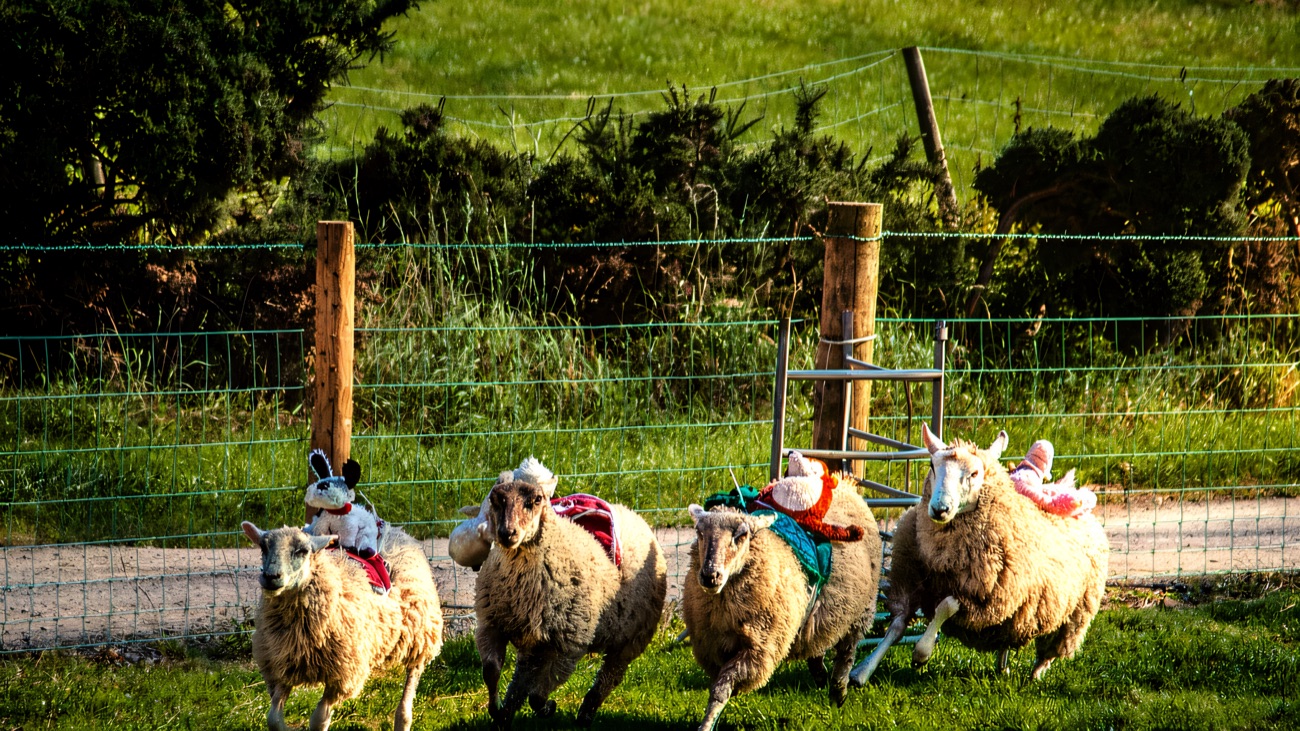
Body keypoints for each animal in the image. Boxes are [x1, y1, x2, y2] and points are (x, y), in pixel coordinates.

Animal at [241, 521, 443, 731]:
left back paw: (403, 719)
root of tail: (395, 530)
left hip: (420, 634)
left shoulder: (342, 677)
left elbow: (318, 720)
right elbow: (273, 718)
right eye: (263, 547)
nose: (271, 576)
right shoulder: (281, 667)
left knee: (412, 680)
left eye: (302, 551)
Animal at [474, 478, 667, 730]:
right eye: (494, 499)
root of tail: (633, 513)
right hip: (534, 641)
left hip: (631, 639)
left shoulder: (569, 645)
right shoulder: (491, 625)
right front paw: (496, 710)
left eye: (536, 500)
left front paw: (547, 708)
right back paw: (507, 714)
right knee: (523, 676)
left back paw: (585, 713)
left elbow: (538, 695)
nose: (507, 533)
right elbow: (491, 671)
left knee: (610, 676)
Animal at [682, 484, 882, 731]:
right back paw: (821, 676)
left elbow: (721, 689)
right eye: (699, 533)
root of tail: (846, 487)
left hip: (861, 612)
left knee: (846, 654)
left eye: (742, 535)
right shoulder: (713, 649)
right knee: (816, 646)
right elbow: (718, 690)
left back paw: (838, 693)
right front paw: (712, 720)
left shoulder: (757, 651)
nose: (710, 576)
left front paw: (707, 724)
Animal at [850, 424, 1109, 686]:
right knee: (1009, 635)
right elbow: (896, 627)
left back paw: (1034, 676)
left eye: (974, 473)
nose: (939, 509)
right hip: (1017, 609)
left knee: (1050, 650)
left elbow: (945, 607)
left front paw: (921, 653)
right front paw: (862, 671)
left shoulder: (976, 596)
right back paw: (1003, 667)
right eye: (932, 465)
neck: (941, 553)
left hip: (1074, 614)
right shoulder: (910, 582)